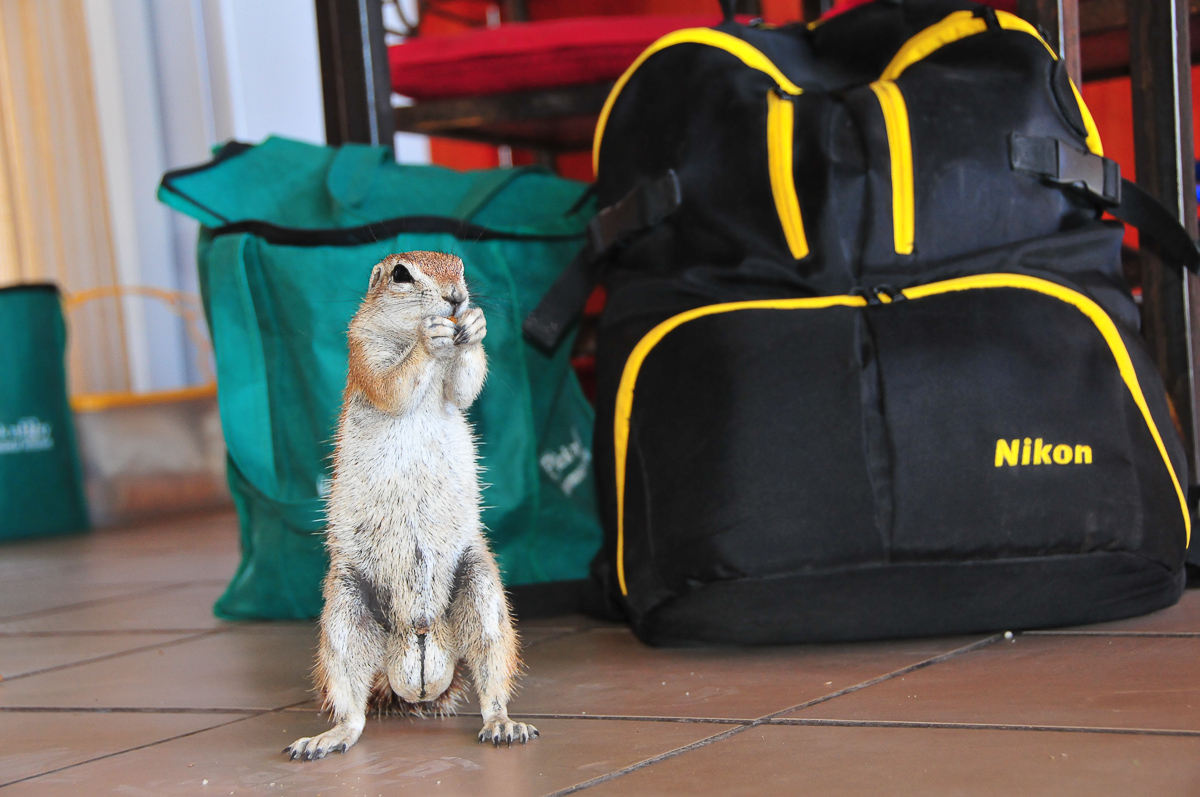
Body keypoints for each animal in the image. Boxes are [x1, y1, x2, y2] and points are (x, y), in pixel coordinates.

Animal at [285, 251, 536, 761]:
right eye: (401, 274)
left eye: (461, 267)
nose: (457, 298)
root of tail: (418, 644)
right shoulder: (362, 350)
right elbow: (391, 385)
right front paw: (429, 337)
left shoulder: (453, 385)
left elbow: (464, 389)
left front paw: (475, 326)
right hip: (345, 616)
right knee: (352, 707)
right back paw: (328, 738)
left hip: (482, 592)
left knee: (490, 668)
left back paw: (502, 722)